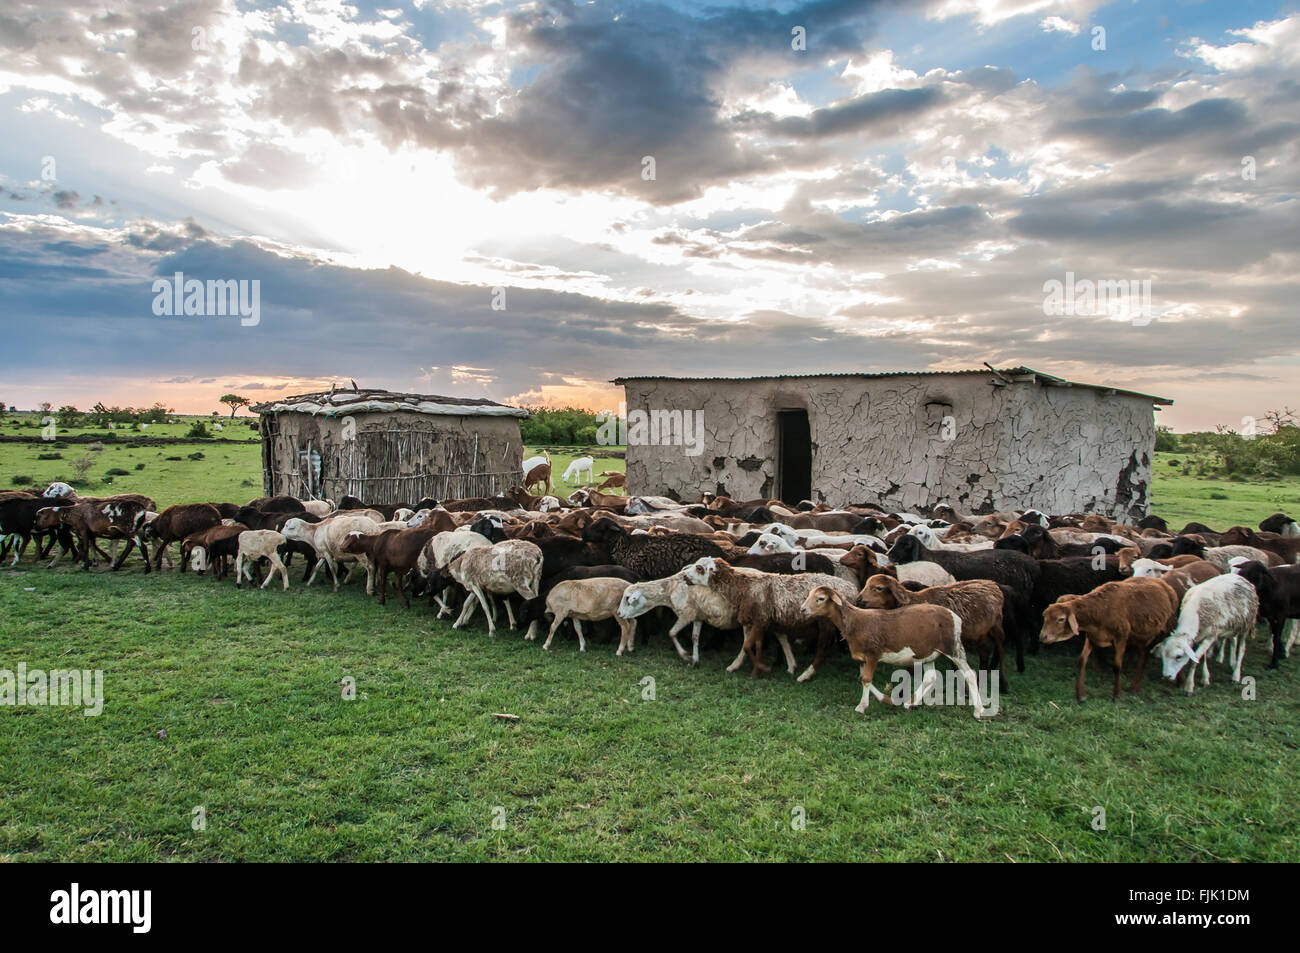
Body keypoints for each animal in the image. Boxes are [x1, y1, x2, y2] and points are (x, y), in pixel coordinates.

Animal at [795, 582, 987, 717]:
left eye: (820, 598)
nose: (802, 609)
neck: (855, 621)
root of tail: (955, 617)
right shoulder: (861, 658)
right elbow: (863, 678)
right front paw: (887, 700)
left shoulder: (873, 654)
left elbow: (866, 679)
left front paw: (861, 707)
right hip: (926, 652)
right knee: (930, 677)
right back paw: (910, 703)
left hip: (953, 647)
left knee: (970, 674)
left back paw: (979, 711)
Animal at [1040, 572, 1185, 696]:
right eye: (1045, 617)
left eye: (1060, 619)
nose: (1042, 637)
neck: (1100, 609)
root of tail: (1164, 584)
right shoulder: (1093, 636)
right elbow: (1081, 661)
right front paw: (1080, 694)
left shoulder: (1121, 637)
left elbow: (1117, 666)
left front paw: (1116, 695)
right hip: (1142, 635)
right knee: (1143, 657)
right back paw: (1134, 687)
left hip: (1168, 627)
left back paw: (1180, 680)